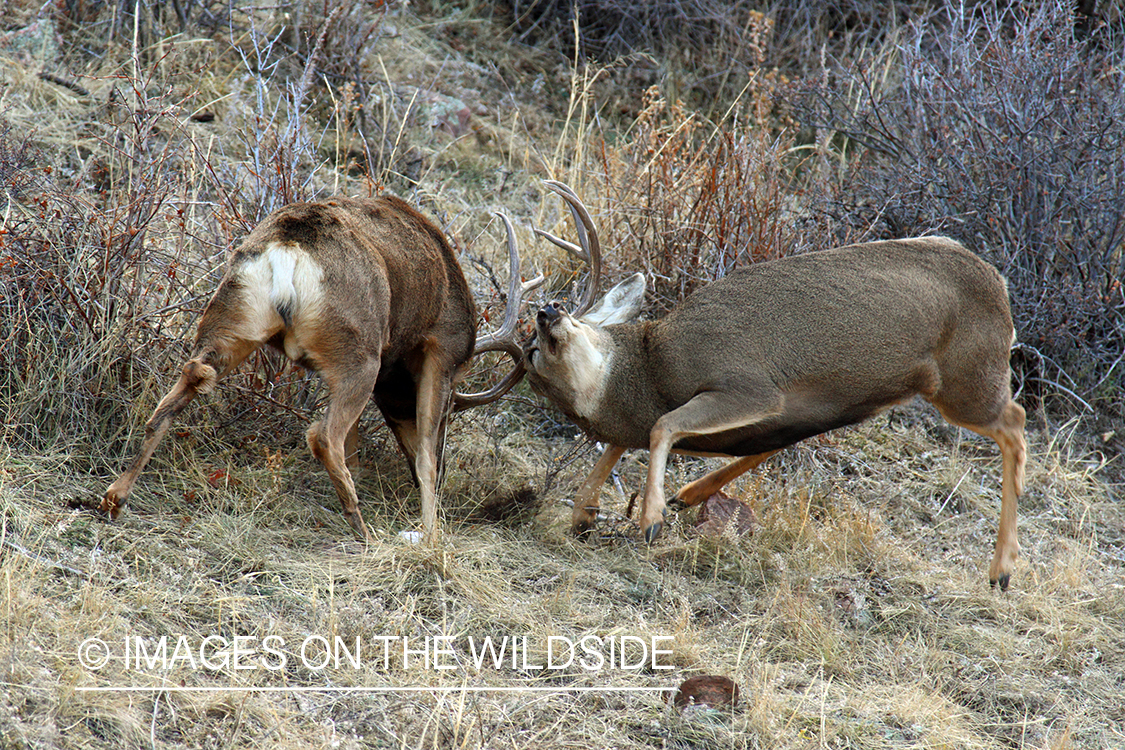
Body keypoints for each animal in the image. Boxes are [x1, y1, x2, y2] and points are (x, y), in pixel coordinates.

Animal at [103, 196, 542, 541]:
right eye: (452, 410)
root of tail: (287, 250)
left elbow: (360, 441)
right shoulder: (442, 348)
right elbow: (423, 455)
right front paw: (431, 532)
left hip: (234, 320)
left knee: (184, 384)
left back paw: (115, 497)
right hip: (359, 351)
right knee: (324, 435)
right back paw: (364, 531)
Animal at [522, 179, 1026, 584]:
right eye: (534, 357)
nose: (547, 310)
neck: (651, 371)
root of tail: (997, 281)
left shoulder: (749, 385)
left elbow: (660, 426)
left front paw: (650, 518)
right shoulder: (779, 412)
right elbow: (630, 442)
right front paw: (587, 515)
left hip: (966, 380)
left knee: (1015, 421)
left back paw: (1001, 570)